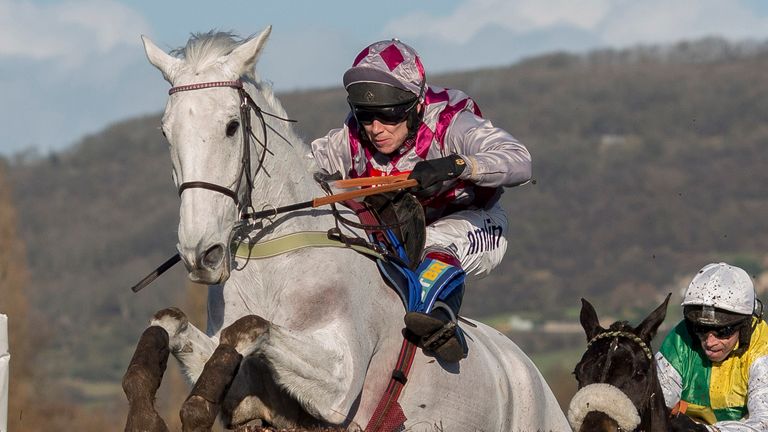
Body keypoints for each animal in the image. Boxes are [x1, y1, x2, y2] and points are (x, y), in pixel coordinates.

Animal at [124, 27, 568, 432]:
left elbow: (250, 327)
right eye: (165, 131)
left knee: (445, 244)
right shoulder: (247, 392)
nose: (201, 253)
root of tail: (529, 370)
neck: (276, 264)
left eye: (232, 126)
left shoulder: (340, 383)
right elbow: (169, 321)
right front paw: (146, 412)